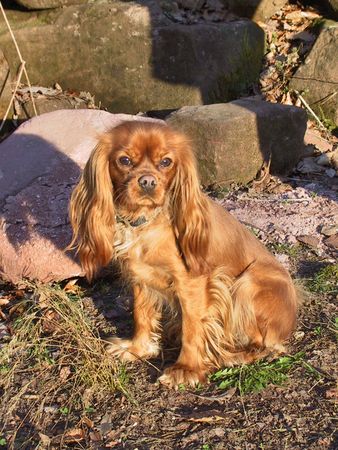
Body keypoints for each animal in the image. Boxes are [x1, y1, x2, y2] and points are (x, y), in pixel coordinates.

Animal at [68, 121, 298, 388]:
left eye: (166, 162)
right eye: (124, 160)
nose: (147, 181)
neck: (147, 223)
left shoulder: (192, 283)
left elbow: (193, 327)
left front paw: (186, 369)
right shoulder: (141, 277)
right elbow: (141, 315)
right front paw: (137, 348)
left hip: (246, 284)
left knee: (265, 345)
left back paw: (231, 355)